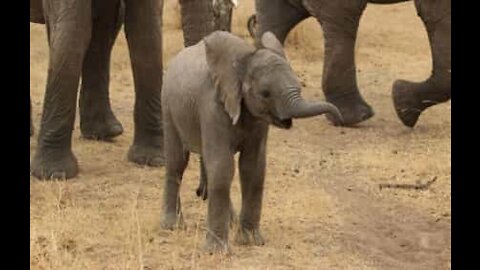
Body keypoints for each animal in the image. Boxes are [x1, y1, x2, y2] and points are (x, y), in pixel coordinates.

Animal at [31, 0, 222, 181]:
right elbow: (73, 30)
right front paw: (54, 173)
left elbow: (145, 31)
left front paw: (154, 159)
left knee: (104, 29)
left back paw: (106, 131)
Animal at [162, 31, 344, 253]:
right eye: (265, 94)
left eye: (299, 86)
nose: (339, 118)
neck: (244, 62)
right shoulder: (212, 107)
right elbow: (223, 168)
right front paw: (216, 252)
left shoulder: (258, 120)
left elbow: (253, 169)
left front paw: (250, 241)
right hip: (169, 107)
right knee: (177, 163)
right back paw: (172, 226)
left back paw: (230, 222)